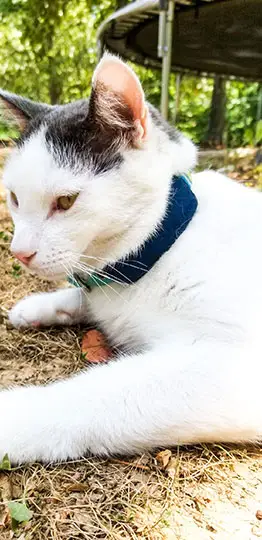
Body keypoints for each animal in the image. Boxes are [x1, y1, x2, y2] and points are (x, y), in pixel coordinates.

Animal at [0, 57, 262, 466]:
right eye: (13, 198)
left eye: (66, 201)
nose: (19, 252)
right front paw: (41, 306)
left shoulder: (237, 369)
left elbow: (97, 398)